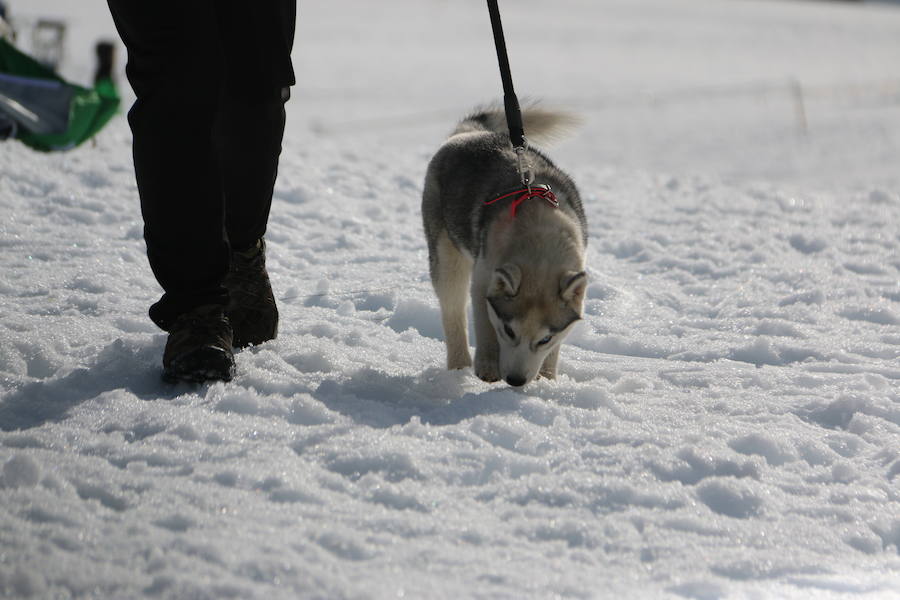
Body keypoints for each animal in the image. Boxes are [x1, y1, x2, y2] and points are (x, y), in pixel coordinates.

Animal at [424, 106, 588, 390]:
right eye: (509, 331)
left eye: (545, 339)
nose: (515, 380)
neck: (540, 237)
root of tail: (471, 133)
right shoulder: (484, 278)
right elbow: (484, 323)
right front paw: (488, 365)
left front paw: (547, 379)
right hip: (447, 255)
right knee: (453, 310)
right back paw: (459, 366)